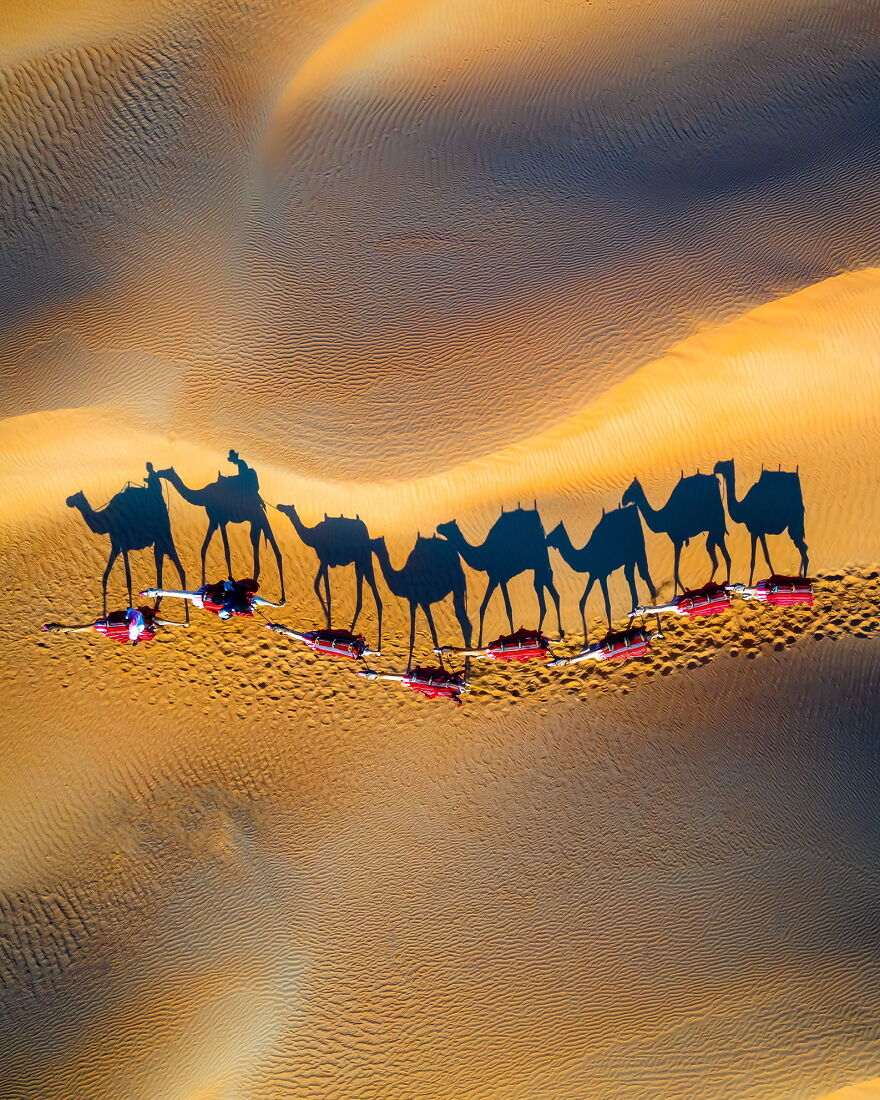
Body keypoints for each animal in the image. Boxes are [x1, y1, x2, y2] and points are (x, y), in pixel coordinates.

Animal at [66, 462, 186, 612]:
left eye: (76, 496)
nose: (68, 500)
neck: (108, 520)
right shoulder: (116, 544)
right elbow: (105, 576)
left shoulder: (123, 543)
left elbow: (128, 579)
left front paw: (130, 610)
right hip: (159, 540)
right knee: (161, 563)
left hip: (164, 533)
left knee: (179, 569)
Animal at [156, 451, 285, 600]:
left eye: (166, 470)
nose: (158, 472)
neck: (203, 495)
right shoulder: (214, 520)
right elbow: (203, 548)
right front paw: (202, 586)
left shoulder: (221, 519)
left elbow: (227, 551)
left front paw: (230, 582)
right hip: (256, 522)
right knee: (258, 544)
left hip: (260, 518)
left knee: (275, 549)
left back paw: (281, 598)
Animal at [277, 504, 382, 645]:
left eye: (288, 507)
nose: (279, 506)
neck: (312, 536)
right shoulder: (323, 560)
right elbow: (316, 585)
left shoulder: (324, 559)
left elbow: (327, 592)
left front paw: (329, 627)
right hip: (360, 562)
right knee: (366, 594)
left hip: (363, 558)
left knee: (371, 590)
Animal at [436, 506, 563, 646]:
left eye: (448, 526)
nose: (438, 527)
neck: (485, 554)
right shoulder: (494, 578)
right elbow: (482, 607)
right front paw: (479, 643)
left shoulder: (501, 577)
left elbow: (508, 609)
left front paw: (512, 638)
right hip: (539, 566)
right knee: (550, 593)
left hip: (540, 561)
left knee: (545, 594)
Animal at [546, 505, 656, 640]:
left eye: (554, 533)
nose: (545, 539)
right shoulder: (594, 574)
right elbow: (582, 602)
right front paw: (585, 642)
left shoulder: (602, 574)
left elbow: (607, 605)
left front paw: (610, 633)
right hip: (631, 558)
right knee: (638, 581)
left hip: (637, 550)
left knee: (643, 580)